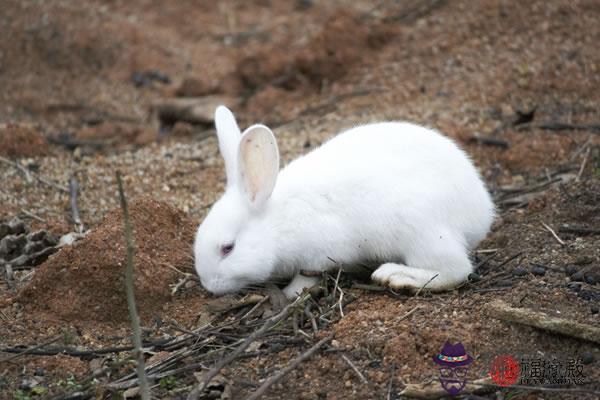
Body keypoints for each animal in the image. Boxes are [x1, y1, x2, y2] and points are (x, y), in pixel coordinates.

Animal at [195, 104, 494, 298]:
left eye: (228, 248)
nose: (209, 285)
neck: (277, 222)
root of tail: (482, 211)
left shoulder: (318, 255)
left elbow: (307, 276)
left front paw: (290, 292)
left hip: (422, 232)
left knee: (455, 270)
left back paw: (396, 276)